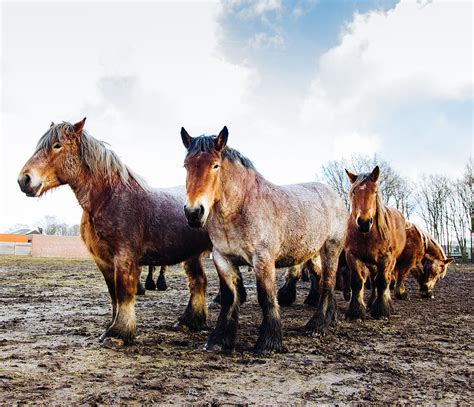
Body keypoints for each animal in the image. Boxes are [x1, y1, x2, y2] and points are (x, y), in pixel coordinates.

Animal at [17, 118, 211, 344]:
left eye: (57, 145)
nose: (24, 180)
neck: (109, 198)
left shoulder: (123, 256)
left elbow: (123, 292)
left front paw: (118, 333)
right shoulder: (104, 260)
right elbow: (113, 295)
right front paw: (111, 327)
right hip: (192, 255)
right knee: (198, 282)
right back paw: (189, 322)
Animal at [180, 127, 346, 354]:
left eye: (215, 165)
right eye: (186, 166)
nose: (194, 212)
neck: (240, 208)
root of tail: (334, 195)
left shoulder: (263, 260)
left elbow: (266, 297)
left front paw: (269, 342)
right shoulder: (223, 259)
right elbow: (229, 297)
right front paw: (219, 339)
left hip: (331, 248)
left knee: (328, 283)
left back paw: (317, 326)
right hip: (312, 254)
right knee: (321, 280)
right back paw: (332, 317)